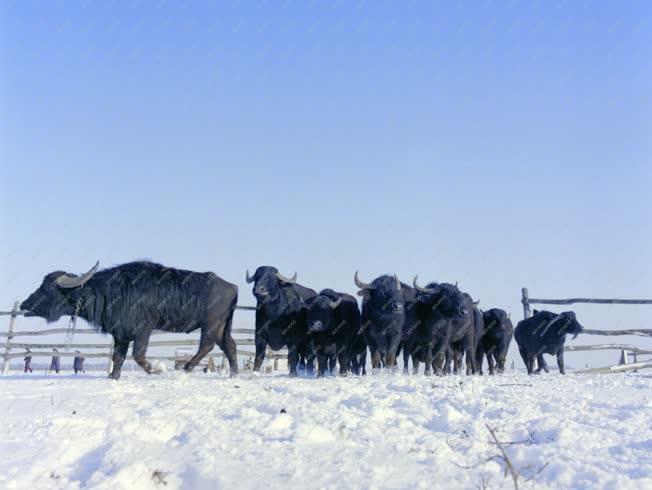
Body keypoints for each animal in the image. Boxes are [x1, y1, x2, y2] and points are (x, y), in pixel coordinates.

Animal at [19, 260, 239, 378]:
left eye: (47, 289)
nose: (23, 305)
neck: (110, 292)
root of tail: (232, 286)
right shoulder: (120, 335)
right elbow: (118, 357)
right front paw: (113, 376)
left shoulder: (143, 330)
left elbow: (138, 355)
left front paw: (156, 369)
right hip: (221, 326)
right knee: (229, 345)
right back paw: (233, 373)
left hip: (210, 324)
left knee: (207, 345)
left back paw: (187, 367)